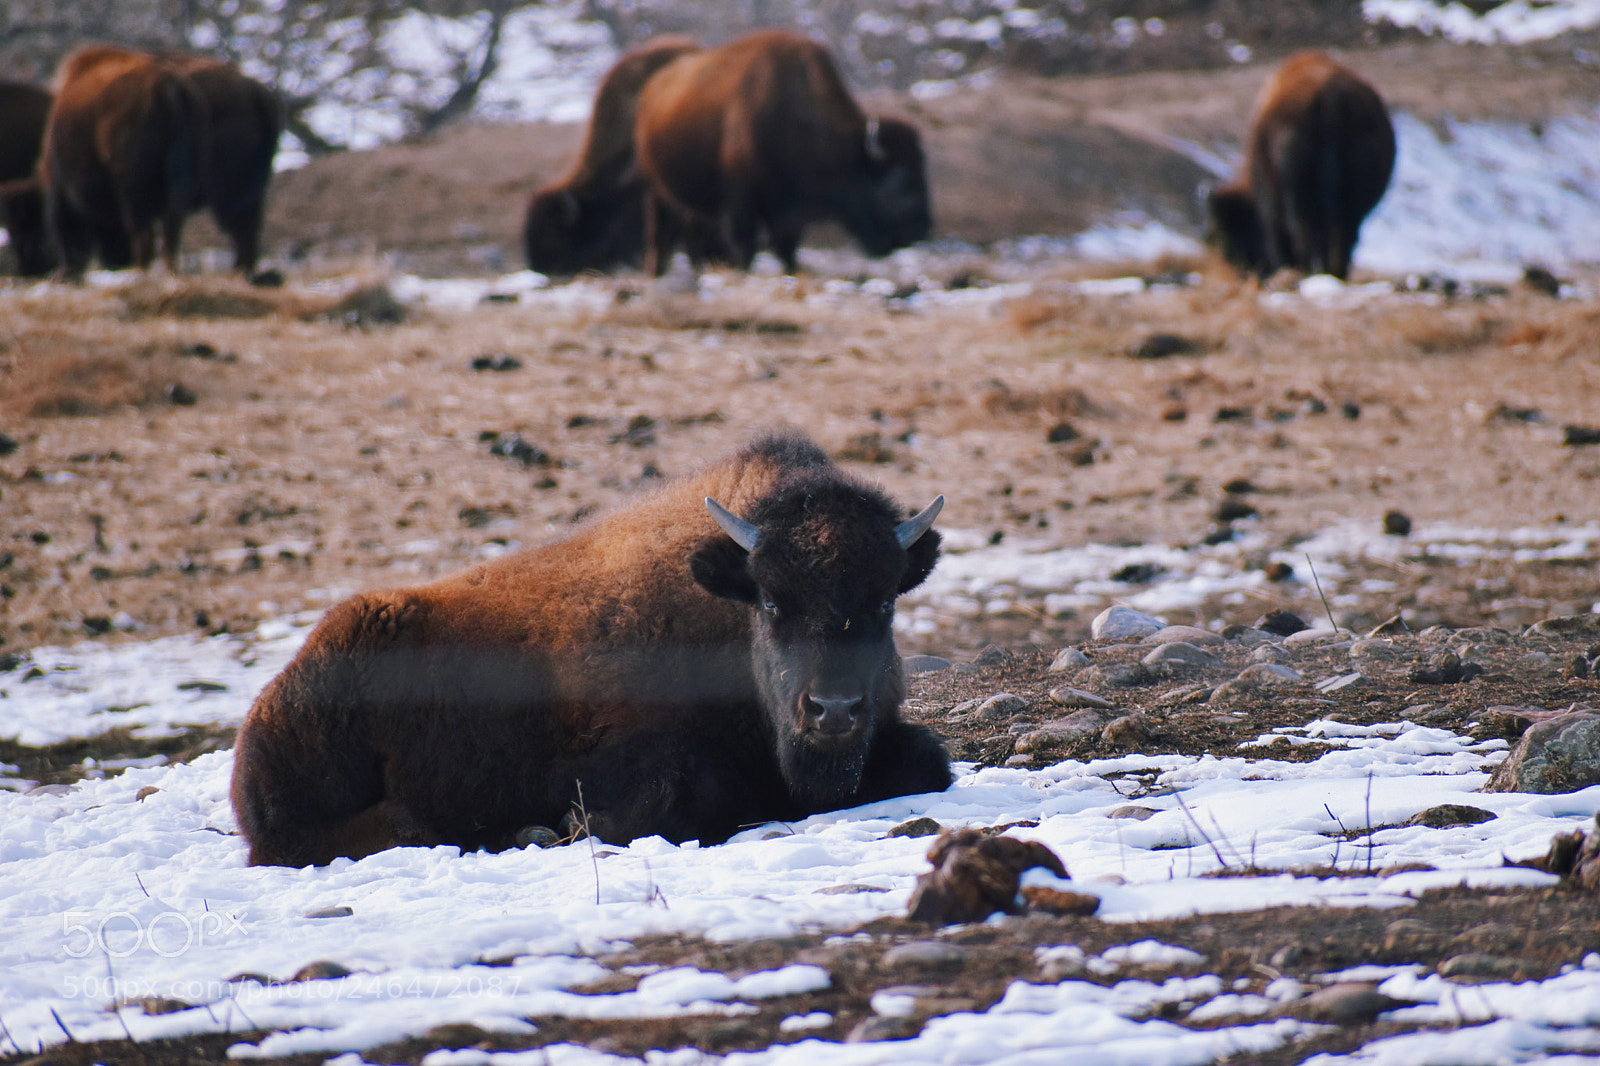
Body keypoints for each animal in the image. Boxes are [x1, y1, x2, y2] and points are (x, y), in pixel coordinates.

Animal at [633, 29, 932, 275]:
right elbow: (747, 244)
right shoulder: (742, 201)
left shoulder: (790, 215)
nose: (922, 230)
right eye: (898, 178)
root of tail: (653, 86)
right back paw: (656, 273)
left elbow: (787, 248)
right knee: (659, 236)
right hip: (657, 190)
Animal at [1207, 50, 1395, 280]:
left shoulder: (1270, 209)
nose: (1236, 274)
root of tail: (1330, 97)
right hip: (1351, 205)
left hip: (1299, 204)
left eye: (1222, 235)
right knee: (1342, 241)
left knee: (1306, 240)